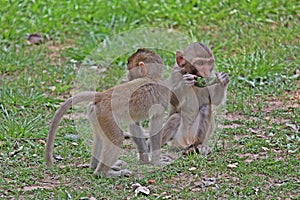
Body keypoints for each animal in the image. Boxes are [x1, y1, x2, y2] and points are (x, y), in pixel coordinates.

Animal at [45, 48, 170, 177]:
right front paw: (156, 161)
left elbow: (134, 124)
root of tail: (102, 95)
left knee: (101, 137)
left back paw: (95, 166)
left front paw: (145, 160)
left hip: (96, 114)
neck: (152, 77)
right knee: (116, 138)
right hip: (106, 115)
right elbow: (155, 125)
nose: (128, 76)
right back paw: (104, 173)